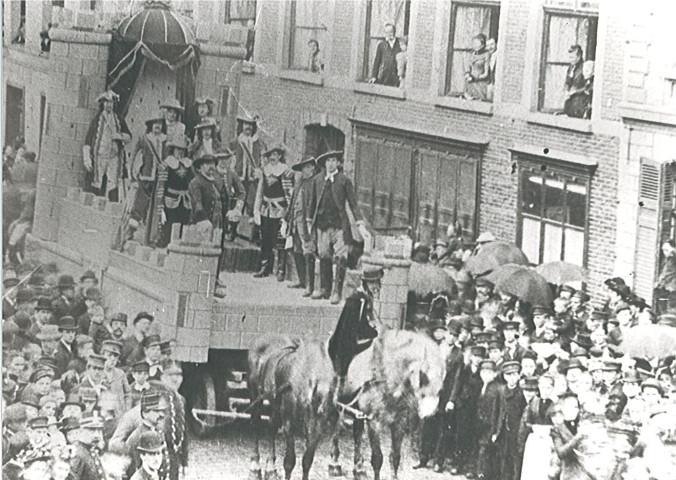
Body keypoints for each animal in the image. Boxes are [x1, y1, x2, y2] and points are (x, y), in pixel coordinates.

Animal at [248, 334, 340, 480]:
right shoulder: (289, 422)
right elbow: (289, 461)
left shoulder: (316, 427)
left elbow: (307, 460)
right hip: (255, 394)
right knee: (256, 422)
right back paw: (255, 467)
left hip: (276, 404)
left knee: (271, 425)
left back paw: (271, 468)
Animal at [328, 328, 446, 480]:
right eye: (423, 378)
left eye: (441, 388)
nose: (430, 416)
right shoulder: (374, 422)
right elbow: (377, 458)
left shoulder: (399, 422)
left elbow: (395, 457)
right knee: (336, 426)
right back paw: (334, 462)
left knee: (357, 433)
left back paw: (358, 467)